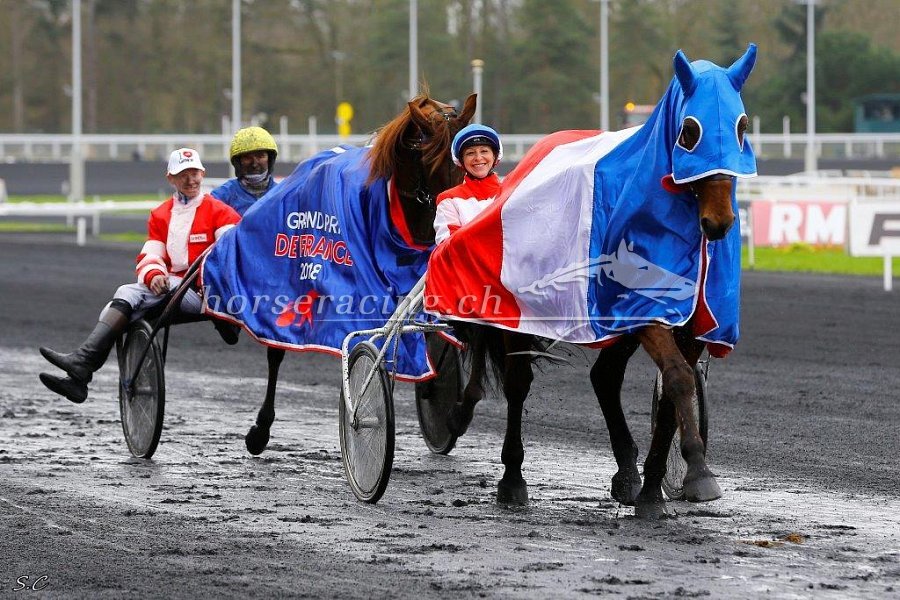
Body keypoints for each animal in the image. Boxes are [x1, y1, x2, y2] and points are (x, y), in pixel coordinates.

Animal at [425, 45, 758, 519]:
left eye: (741, 127)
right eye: (690, 132)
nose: (719, 222)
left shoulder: (691, 324)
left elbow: (673, 392)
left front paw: (652, 491)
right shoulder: (645, 312)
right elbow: (677, 378)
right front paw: (697, 469)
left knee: (604, 377)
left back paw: (627, 475)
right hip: (515, 312)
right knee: (517, 383)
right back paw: (512, 479)